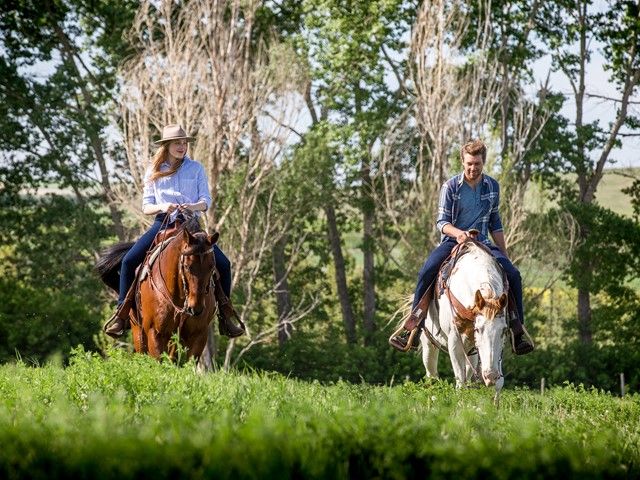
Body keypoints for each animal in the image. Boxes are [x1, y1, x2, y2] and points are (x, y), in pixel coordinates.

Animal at [96, 223, 218, 362]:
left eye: (212, 267)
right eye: (187, 266)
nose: (196, 308)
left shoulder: (198, 335)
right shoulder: (155, 333)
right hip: (138, 331)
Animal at [422, 242, 508, 404]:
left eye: (504, 331)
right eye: (478, 329)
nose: (490, 376)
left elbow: (499, 384)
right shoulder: (455, 341)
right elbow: (460, 382)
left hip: (471, 350)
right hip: (429, 342)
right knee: (432, 375)